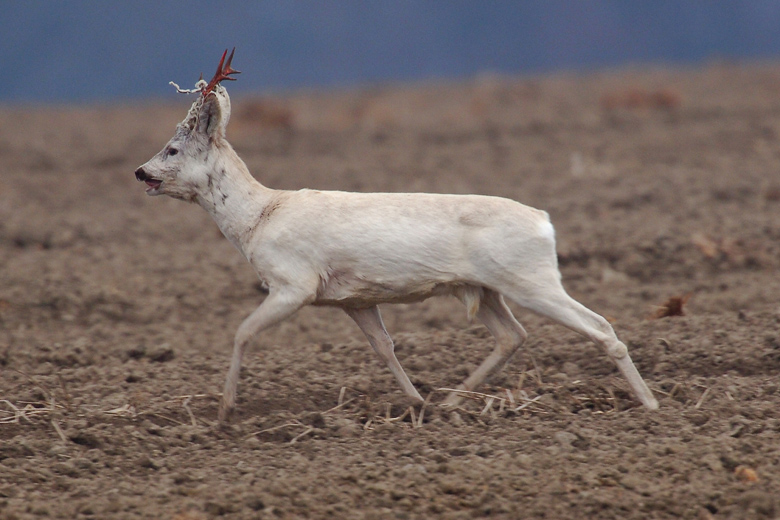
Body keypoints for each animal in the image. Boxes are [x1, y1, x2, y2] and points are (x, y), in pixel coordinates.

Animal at [136, 49, 660, 422]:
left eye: (173, 149)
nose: (140, 172)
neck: (257, 218)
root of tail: (545, 220)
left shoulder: (294, 282)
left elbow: (243, 331)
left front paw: (225, 411)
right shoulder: (354, 299)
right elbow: (384, 348)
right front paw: (416, 402)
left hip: (530, 278)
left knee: (601, 327)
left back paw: (651, 406)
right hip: (489, 289)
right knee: (513, 336)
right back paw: (450, 403)